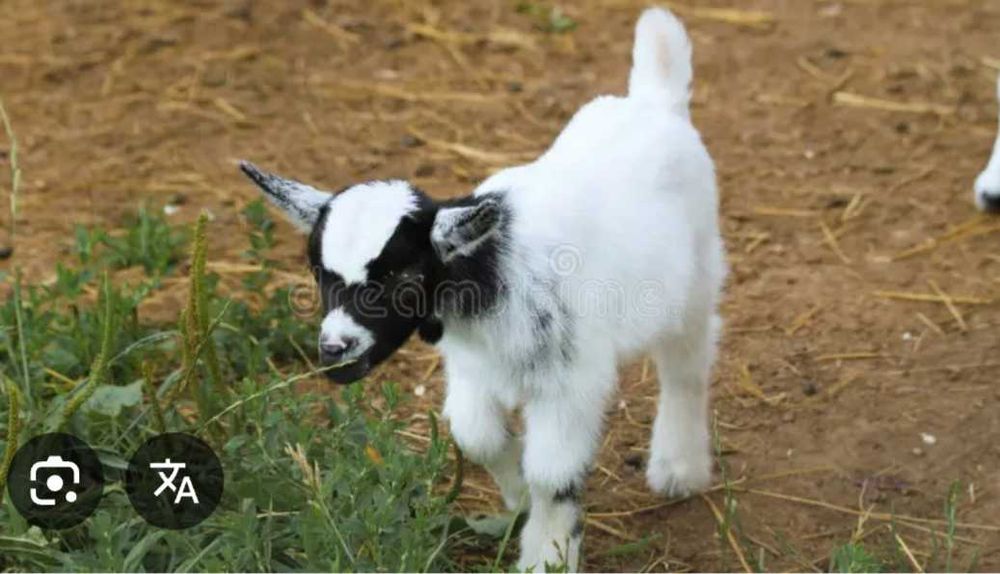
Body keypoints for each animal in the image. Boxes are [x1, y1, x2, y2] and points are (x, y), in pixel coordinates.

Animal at [239, 7, 724, 571]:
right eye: (318, 272)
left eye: (405, 275)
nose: (336, 349)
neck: (494, 268)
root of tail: (654, 100)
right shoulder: (472, 367)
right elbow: (475, 437)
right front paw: (517, 497)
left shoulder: (570, 381)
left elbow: (553, 475)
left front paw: (548, 554)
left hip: (696, 275)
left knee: (687, 365)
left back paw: (678, 467)